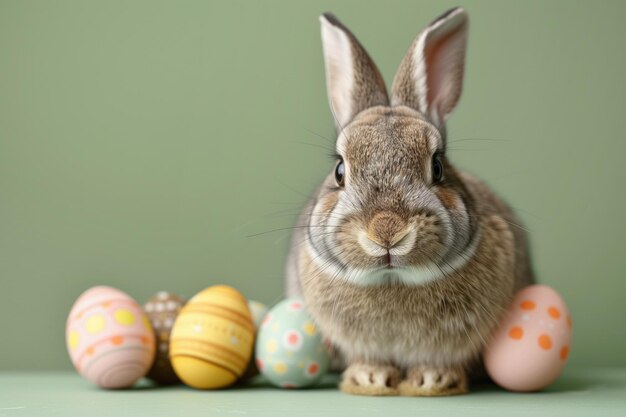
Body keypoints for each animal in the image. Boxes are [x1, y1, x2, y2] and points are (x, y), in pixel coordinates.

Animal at [282, 7, 532, 396]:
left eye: (438, 166)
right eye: (340, 170)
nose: (387, 231)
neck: (393, 280)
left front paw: (433, 380)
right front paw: (368, 379)